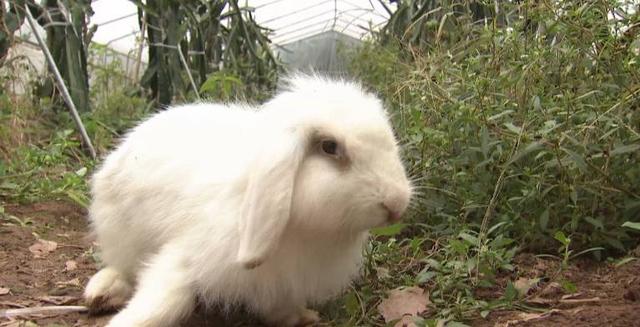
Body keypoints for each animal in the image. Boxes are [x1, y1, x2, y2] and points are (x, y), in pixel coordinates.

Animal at [82, 73, 412, 326]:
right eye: (330, 147)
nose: (397, 204)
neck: (301, 229)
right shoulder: (190, 255)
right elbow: (167, 301)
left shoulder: (282, 282)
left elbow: (280, 308)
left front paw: (305, 317)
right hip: (118, 231)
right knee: (120, 266)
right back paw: (102, 292)